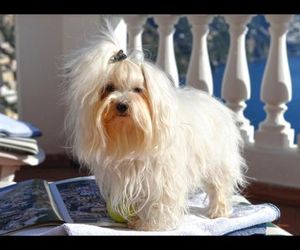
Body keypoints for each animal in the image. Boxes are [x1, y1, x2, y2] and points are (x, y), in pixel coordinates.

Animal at [63, 24, 246, 230]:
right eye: (109, 88)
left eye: (138, 89)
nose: (121, 105)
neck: (130, 135)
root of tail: (218, 105)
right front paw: (136, 220)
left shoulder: (163, 177)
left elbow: (160, 201)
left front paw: (152, 224)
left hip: (218, 161)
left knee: (219, 186)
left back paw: (218, 211)